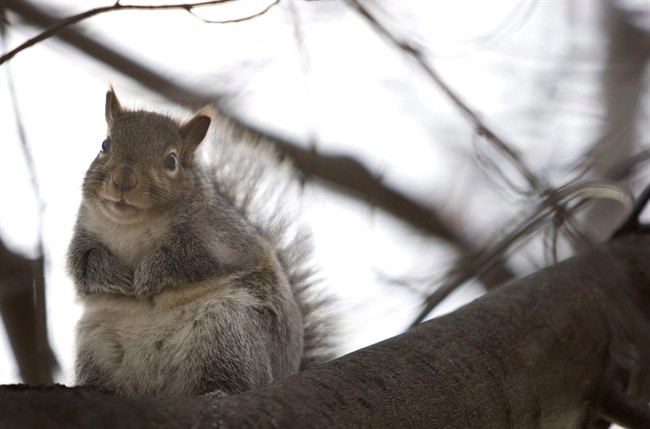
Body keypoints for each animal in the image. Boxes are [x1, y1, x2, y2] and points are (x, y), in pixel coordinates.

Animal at [67, 88, 332, 398]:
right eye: (105, 144)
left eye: (172, 161)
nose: (123, 181)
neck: (132, 225)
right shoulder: (84, 233)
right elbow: (82, 264)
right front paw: (116, 276)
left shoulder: (222, 239)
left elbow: (186, 259)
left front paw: (146, 276)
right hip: (97, 347)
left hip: (228, 334)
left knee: (235, 378)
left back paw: (217, 392)